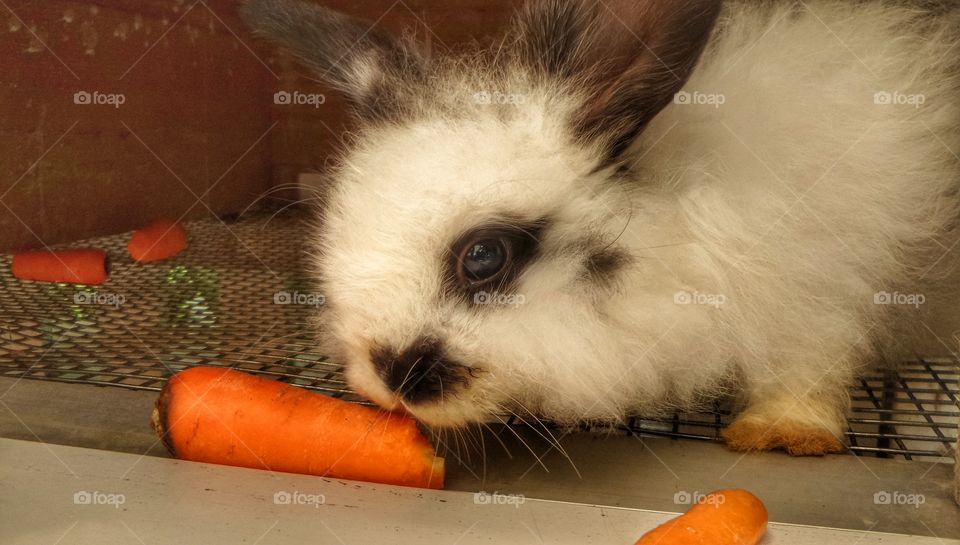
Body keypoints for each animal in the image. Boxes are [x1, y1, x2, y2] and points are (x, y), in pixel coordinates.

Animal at [246, 0, 960, 454]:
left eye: (484, 256)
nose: (390, 378)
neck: (687, 227)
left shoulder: (816, 288)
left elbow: (808, 363)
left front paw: (784, 435)